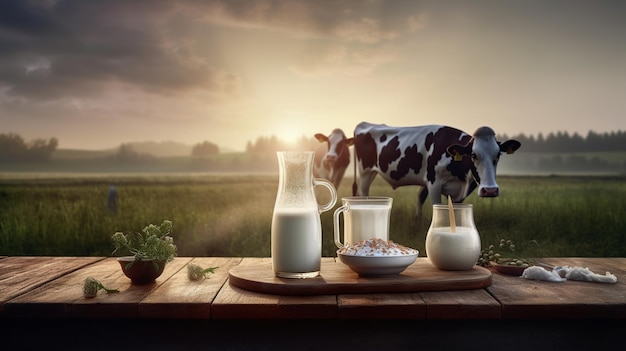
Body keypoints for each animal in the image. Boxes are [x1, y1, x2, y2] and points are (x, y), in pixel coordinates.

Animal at [352, 123, 520, 217]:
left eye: (498, 154)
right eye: (473, 155)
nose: (490, 190)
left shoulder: (463, 191)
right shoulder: (434, 184)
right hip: (365, 171)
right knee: (363, 193)